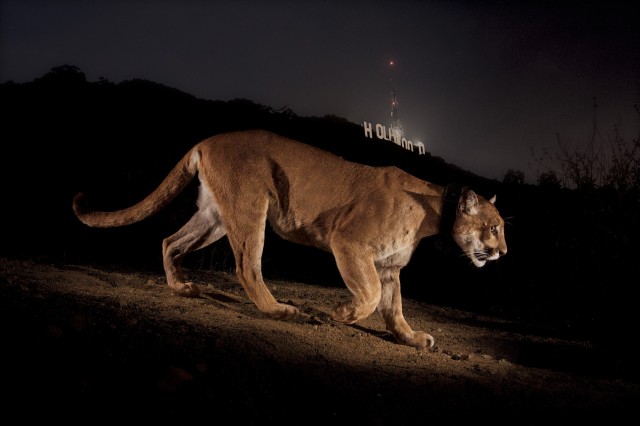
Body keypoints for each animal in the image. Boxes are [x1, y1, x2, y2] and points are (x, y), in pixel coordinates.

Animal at [74, 130, 504, 350]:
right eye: (496, 227)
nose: (503, 251)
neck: (434, 210)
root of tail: (209, 139)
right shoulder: (349, 242)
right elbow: (368, 297)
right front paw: (341, 313)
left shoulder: (389, 267)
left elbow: (393, 308)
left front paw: (412, 338)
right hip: (251, 208)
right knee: (247, 266)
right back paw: (282, 310)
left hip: (215, 216)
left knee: (169, 241)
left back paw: (181, 287)